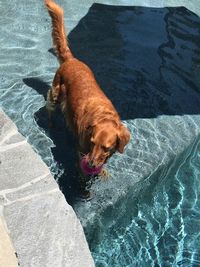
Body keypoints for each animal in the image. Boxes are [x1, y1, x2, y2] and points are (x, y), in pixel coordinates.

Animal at [44, 0, 130, 174]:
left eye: (106, 148)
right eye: (92, 142)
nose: (90, 163)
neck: (103, 116)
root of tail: (71, 59)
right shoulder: (81, 150)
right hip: (56, 94)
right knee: (49, 108)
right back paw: (50, 123)